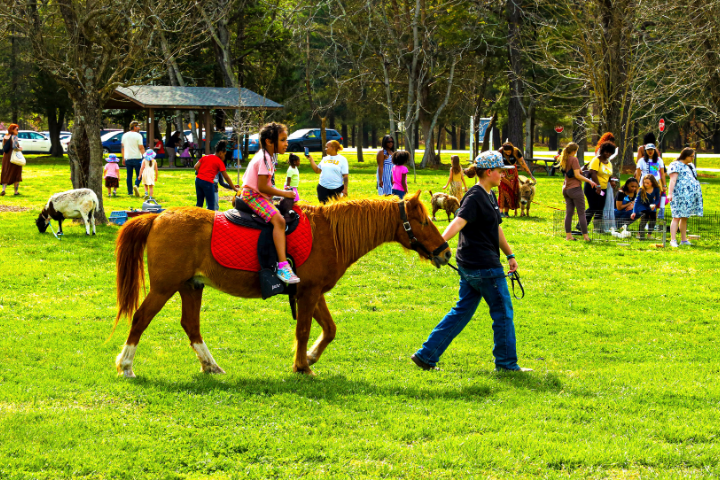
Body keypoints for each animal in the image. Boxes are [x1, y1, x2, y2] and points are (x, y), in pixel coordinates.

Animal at [114, 191, 452, 377]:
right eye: (423, 222)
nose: (446, 252)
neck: (330, 233)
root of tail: (157, 218)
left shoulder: (313, 292)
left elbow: (330, 329)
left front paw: (311, 356)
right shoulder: (308, 293)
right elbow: (303, 330)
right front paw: (302, 365)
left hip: (191, 286)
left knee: (191, 326)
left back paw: (211, 365)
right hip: (164, 287)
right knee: (141, 319)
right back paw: (126, 365)